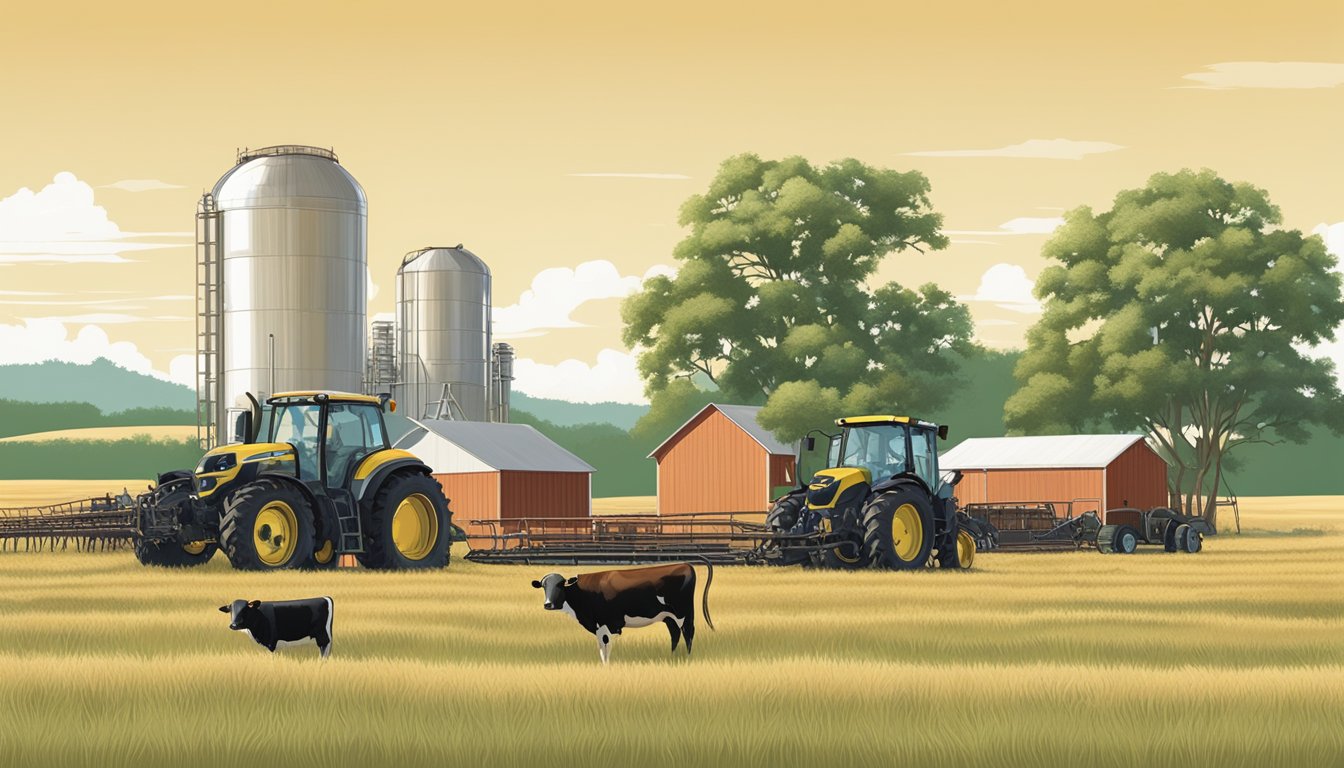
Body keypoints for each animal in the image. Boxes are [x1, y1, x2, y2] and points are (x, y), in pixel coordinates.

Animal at [529, 562, 715, 664]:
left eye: (560, 585)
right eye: (544, 586)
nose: (548, 604)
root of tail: (685, 565)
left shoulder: (606, 624)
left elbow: (605, 648)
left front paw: (606, 668)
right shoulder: (598, 626)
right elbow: (601, 648)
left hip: (683, 613)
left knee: (688, 633)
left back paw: (687, 658)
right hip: (668, 617)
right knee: (675, 633)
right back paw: (673, 657)